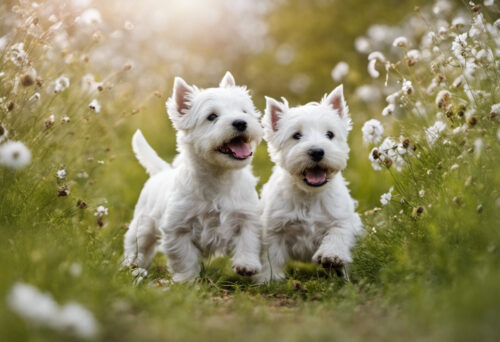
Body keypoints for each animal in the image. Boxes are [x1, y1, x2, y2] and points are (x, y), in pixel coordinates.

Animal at [123, 71, 264, 282]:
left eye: (244, 111)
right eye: (212, 116)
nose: (241, 122)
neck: (218, 175)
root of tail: (161, 171)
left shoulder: (247, 216)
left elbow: (249, 240)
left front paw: (247, 265)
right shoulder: (177, 228)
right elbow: (184, 257)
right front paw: (186, 281)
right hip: (143, 227)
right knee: (136, 246)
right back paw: (129, 266)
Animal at [258, 86, 364, 284]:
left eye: (330, 134)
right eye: (296, 135)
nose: (317, 151)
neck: (309, 194)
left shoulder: (341, 219)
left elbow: (337, 235)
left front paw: (331, 257)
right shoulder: (274, 229)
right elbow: (271, 255)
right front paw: (270, 279)